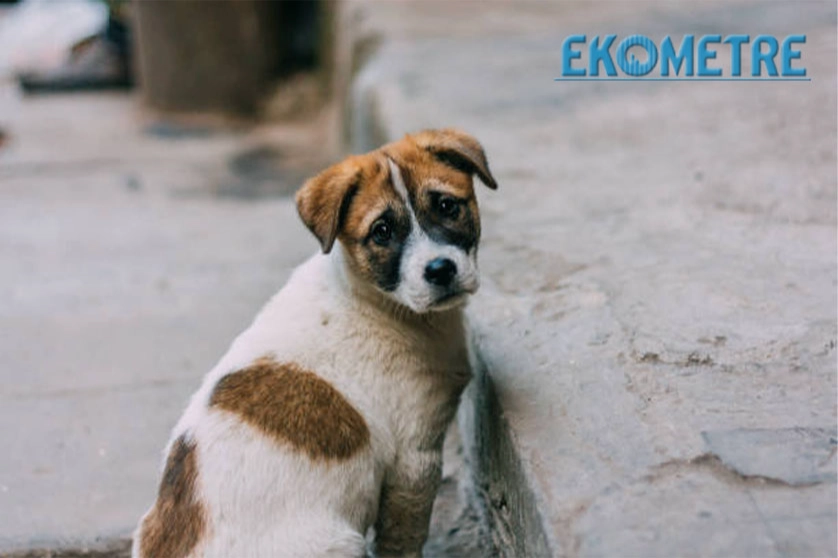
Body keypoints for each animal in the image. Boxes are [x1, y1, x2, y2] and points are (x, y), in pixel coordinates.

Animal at [132, 129, 497, 558]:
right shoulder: (414, 459)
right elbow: (402, 539)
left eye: (446, 206)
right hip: (339, 542)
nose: (440, 270)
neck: (377, 302)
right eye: (382, 232)